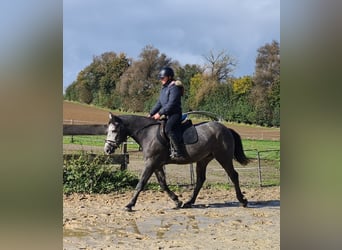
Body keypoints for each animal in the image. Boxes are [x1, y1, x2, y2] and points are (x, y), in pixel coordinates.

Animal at [103, 112, 250, 212]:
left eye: (114, 130)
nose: (107, 149)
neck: (148, 134)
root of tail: (226, 129)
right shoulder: (157, 165)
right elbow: (163, 184)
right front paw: (177, 201)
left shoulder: (151, 163)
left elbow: (141, 183)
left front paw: (129, 205)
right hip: (203, 160)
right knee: (200, 180)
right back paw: (189, 202)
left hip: (223, 157)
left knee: (233, 175)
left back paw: (242, 200)